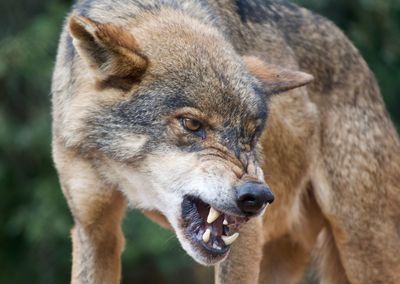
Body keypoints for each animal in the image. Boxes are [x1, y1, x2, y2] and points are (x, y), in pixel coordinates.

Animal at [51, 0, 398, 282]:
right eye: (192, 124)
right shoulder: (95, 231)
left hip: (363, 248)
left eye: (252, 134)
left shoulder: (246, 234)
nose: (257, 196)